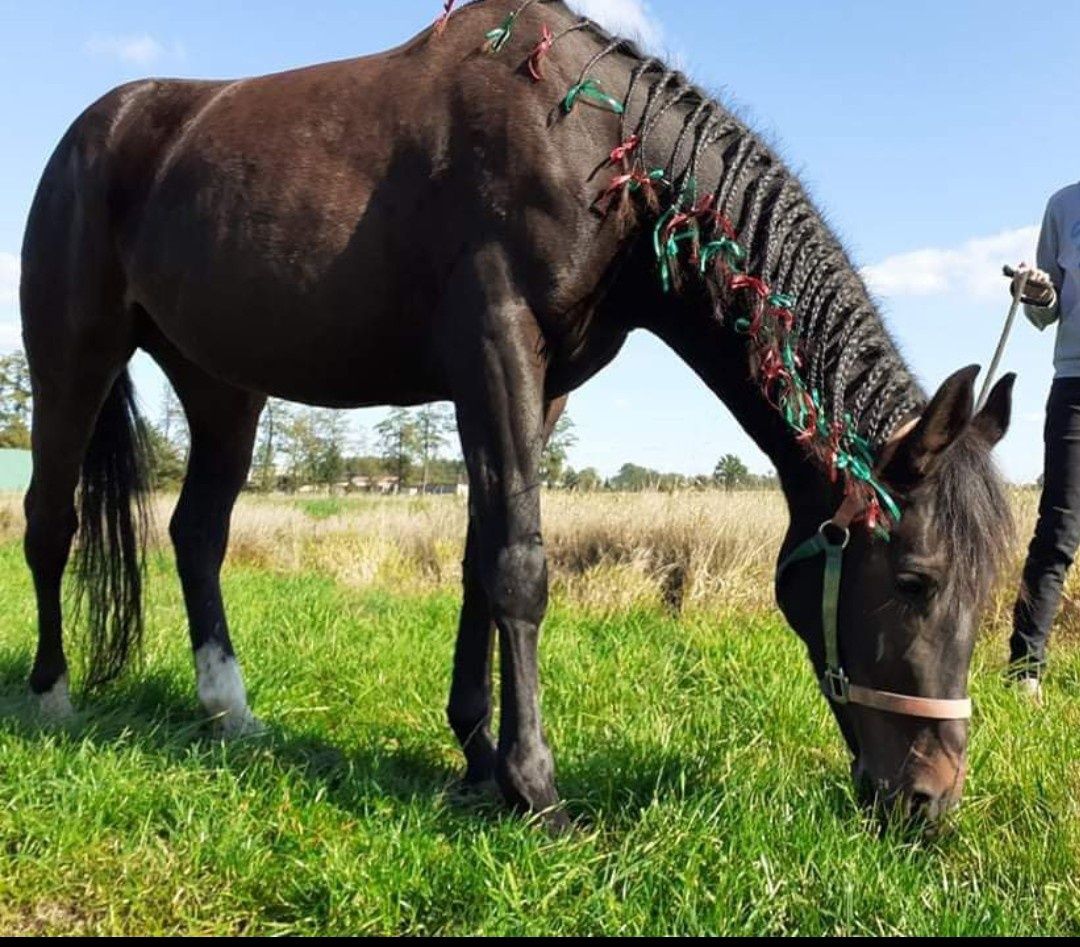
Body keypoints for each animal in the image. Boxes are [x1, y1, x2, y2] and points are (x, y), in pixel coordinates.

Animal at [19, 0, 1010, 829]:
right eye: (915, 581)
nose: (931, 799)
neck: (601, 150)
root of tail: (98, 128)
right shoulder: (496, 351)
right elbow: (521, 565)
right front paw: (535, 786)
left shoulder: (539, 386)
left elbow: (479, 555)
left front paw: (476, 756)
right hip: (73, 359)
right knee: (49, 522)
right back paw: (51, 694)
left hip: (223, 388)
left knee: (197, 532)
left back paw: (228, 708)